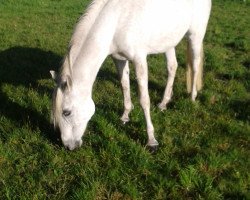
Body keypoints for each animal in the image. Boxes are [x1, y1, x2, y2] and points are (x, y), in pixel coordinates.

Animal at [50, 0, 211, 150]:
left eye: (66, 112)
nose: (68, 146)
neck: (115, 21)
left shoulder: (139, 59)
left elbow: (144, 99)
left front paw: (151, 141)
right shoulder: (119, 59)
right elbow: (124, 86)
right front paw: (125, 116)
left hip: (195, 35)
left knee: (195, 65)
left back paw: (192, 98)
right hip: (168, 41)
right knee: (172, 67)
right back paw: (164, 103)